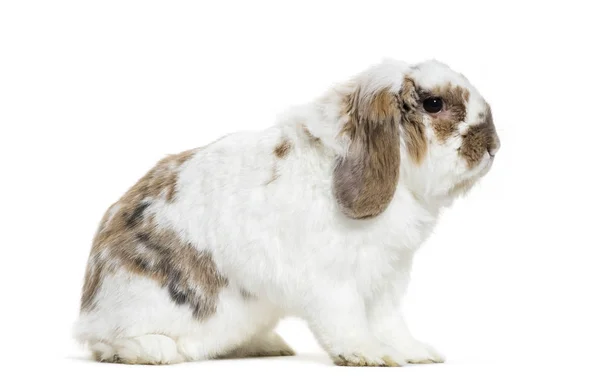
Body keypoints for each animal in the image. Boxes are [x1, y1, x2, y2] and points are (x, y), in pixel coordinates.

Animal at [72, 59, 500, 366]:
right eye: (433, 104)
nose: (493, 145)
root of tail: (90, 304)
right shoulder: (334, 282)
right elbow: (346, 321)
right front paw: (369, 355)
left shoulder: (387, 280)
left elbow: (391, 323)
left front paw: (417, 354)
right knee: (106, 344)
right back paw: (155, 350)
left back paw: (270, 345)